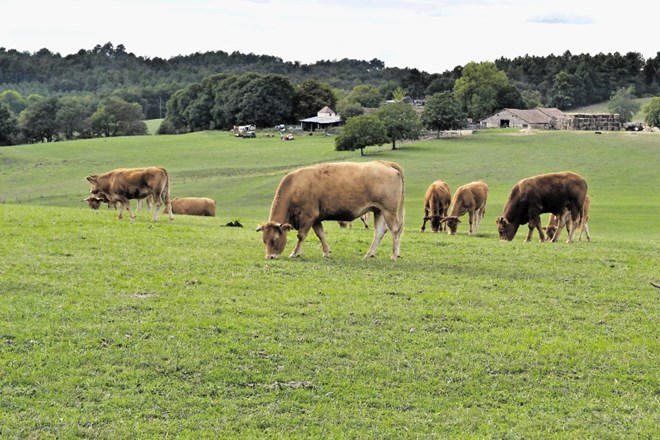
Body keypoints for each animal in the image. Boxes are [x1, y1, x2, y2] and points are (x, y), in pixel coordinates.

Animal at [255, 160, 404, 260]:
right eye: (264, 240)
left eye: (275, 239)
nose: (270, 257)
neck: (294, 187)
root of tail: (384, 163)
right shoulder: (315, 219)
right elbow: (321, 234)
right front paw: (326, 252)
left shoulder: (308, 216)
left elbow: (301, 236)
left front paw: (295, 253)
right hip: (378, 210)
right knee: (379, 232)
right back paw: (369, 254)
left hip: (389, 211)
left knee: (395, 230)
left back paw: (394, 255)